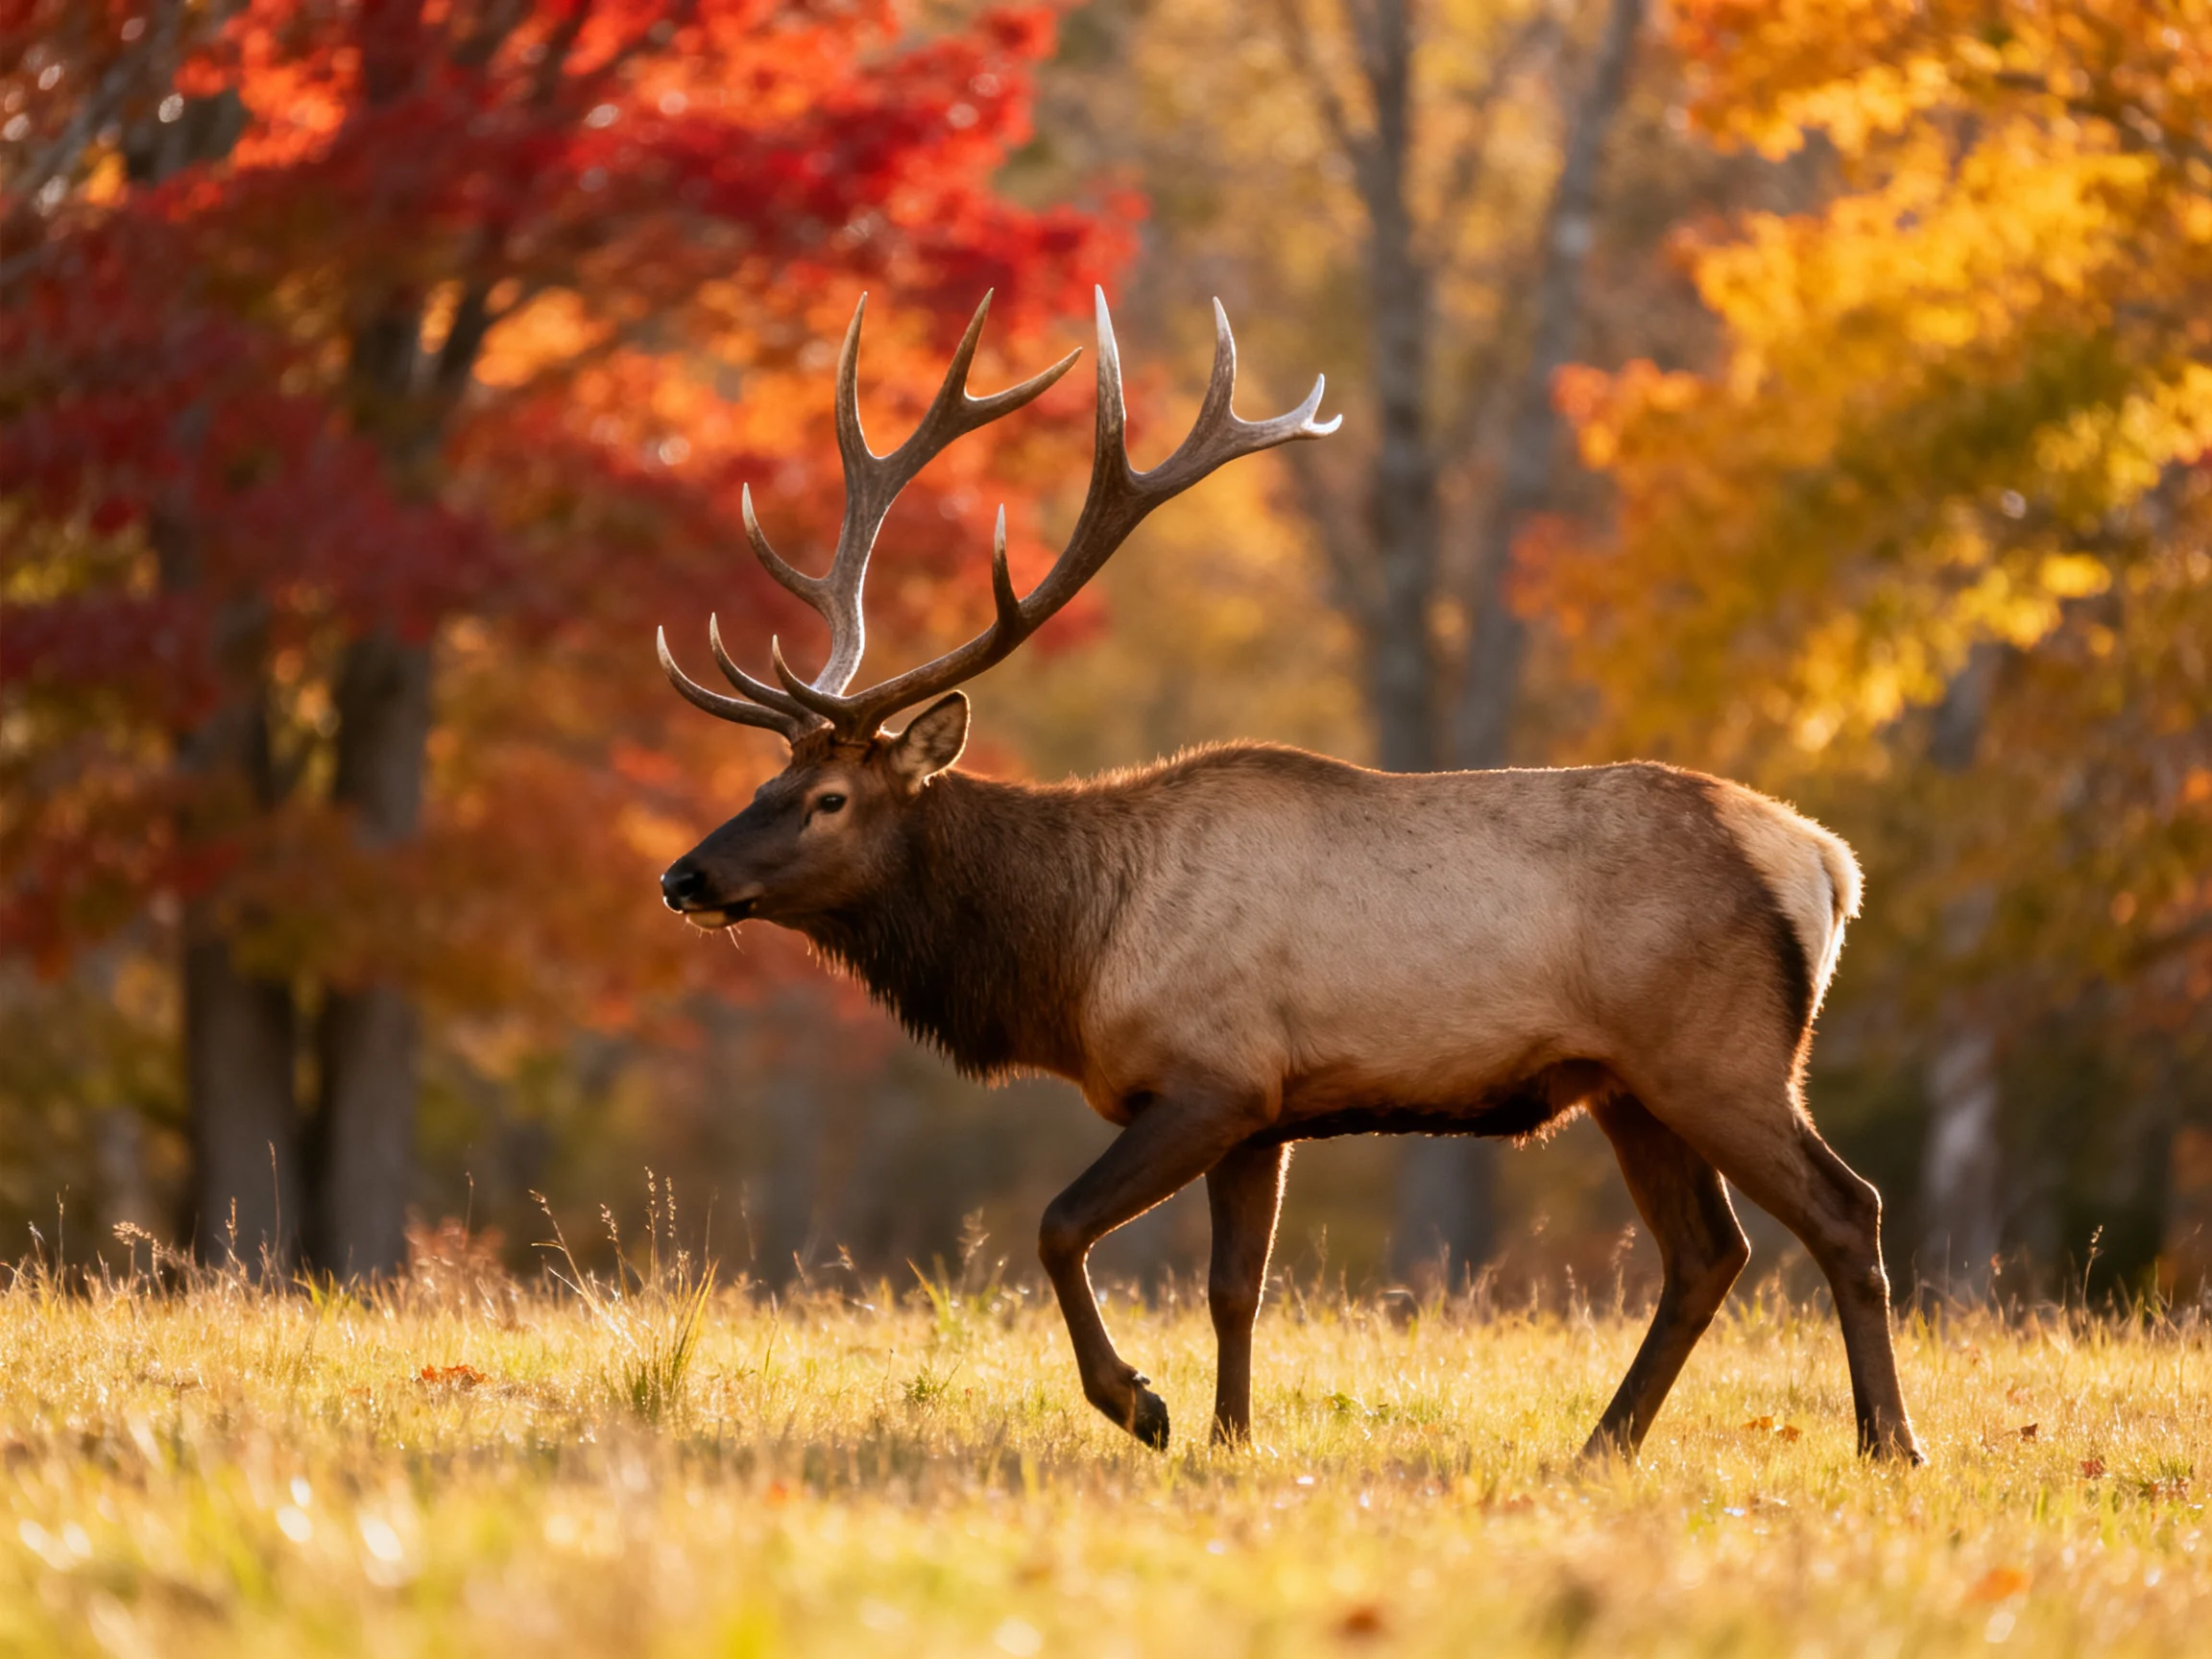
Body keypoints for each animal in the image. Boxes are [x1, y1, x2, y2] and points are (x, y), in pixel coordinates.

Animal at [655, 288, 1926, 1464]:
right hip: (1628, 1084)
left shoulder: (1211, 1078)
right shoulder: (1265, 1110)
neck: (1072, 953)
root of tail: (1826, 863)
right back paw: (1603, 1443)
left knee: (1843, 1210)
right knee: (1708, 1251)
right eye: (767, 778)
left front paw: (1143, 1405)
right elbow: (1235, 1288)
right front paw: (1230, 1437)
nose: (684, 877)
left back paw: (1889, 1441)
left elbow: (1059, 1226)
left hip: (1719, 1055)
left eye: (829, 798)